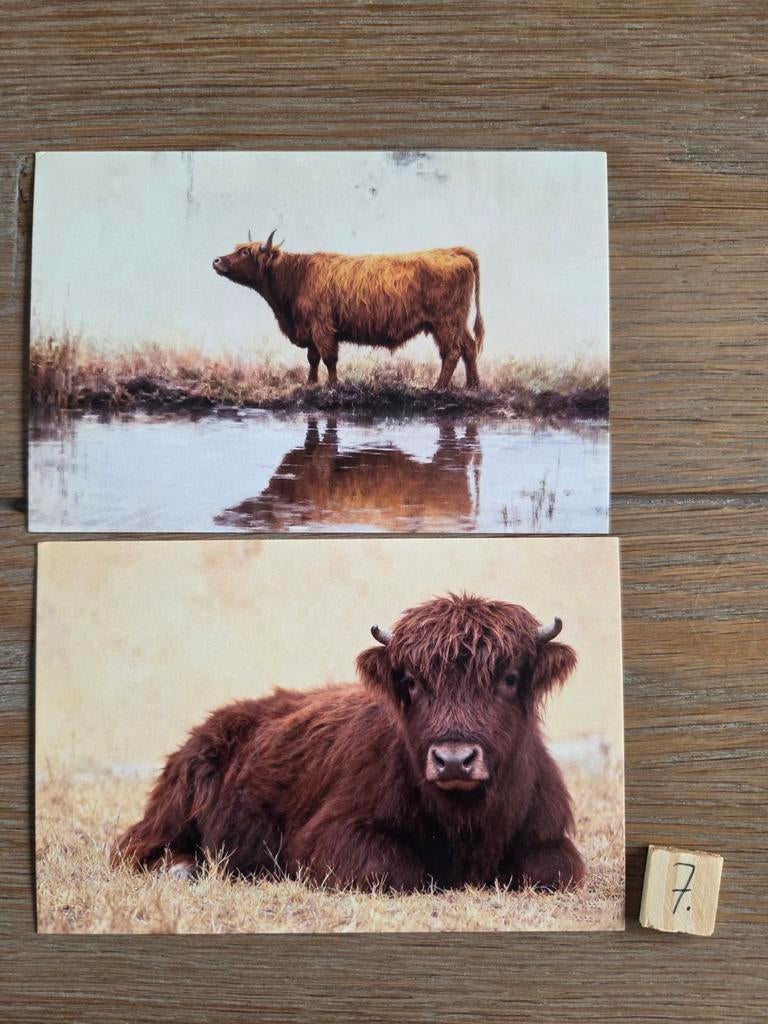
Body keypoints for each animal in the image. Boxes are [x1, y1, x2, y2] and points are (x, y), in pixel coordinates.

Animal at [113, 594, 585, 892]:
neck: (465, 819)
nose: (454, 760)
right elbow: (398, 871)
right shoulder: (331, 838)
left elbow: (555, 870)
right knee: (134, 847)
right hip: (172, 811)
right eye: (411, 682)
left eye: (510, 678)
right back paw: (181, 870)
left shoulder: (549, 837)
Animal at [212, 232, 484, 389]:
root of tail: (453, 251)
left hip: (445, 321)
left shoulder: (322, 326)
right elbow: (312, 358)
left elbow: (329, 357)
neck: (297, 277)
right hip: (456, 321)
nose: (216, 260)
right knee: (469, 347)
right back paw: (472, 386)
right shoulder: (310, 328)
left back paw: (438, 387)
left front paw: (333, 386)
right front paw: (310, 384)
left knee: (452, 352)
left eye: (245, 252)